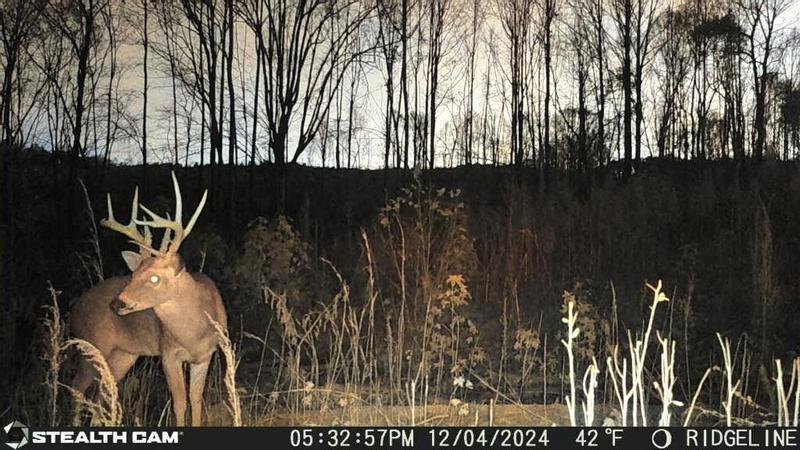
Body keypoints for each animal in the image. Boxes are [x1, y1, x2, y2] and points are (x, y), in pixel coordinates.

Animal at [70, 172, 227, 426]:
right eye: (133, 274)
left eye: (154, 278)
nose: (117, 303)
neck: (195, 332)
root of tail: (75, 309)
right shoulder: (168, 354)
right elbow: (179, 403)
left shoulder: (205, 356)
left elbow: (195, 400)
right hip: (91, 346)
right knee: (78, 388)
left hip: (123, 354)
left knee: (101, 393)